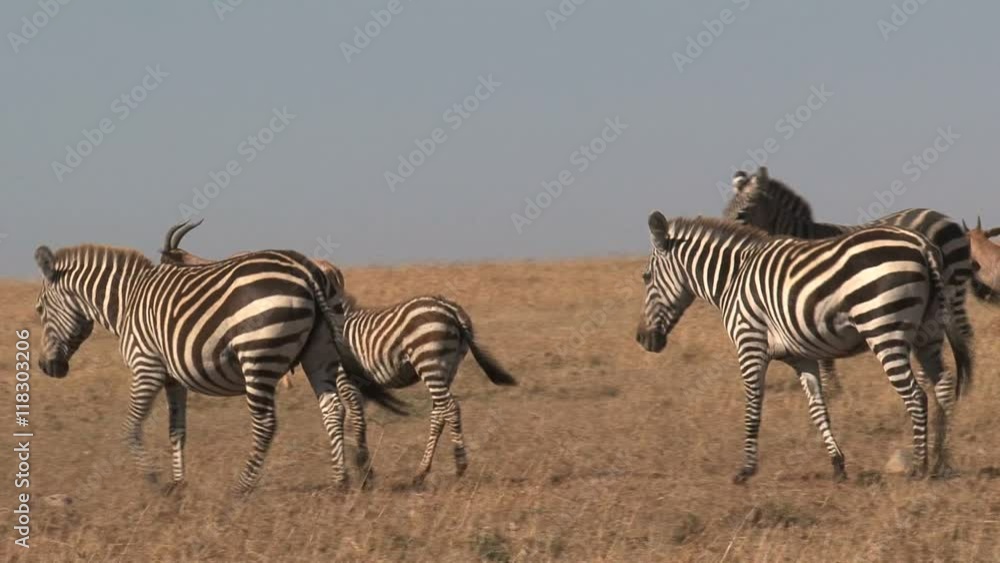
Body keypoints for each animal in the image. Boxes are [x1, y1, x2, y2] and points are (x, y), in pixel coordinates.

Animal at [33, 242, 406, 494]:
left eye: (38, 310)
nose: (46, 367)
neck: (126, 301)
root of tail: (306, 269)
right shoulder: (173, 378)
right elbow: (177, 429)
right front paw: (179, 484)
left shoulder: (146, 366)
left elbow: (130, 427)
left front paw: (154, 481)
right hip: (319, 352)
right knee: (333, 408)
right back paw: (341, 481)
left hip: (258, 353)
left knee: (266, 424)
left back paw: (242, 487)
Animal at [160, 220, 520, 484]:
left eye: (164, 265)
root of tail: (451, 309)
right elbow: (355, 416)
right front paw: (360, 465)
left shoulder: (344, 377)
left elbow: (353, 416)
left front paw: (361, 467)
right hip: (445, 367)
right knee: (440, 412)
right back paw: (423, 471)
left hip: (430, 362)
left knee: (450, 408)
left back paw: (457, 465)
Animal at [632, 214, 968, 482]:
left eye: (646, 277)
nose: (642, 340)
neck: (732, 279)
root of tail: (922, 244)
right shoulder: (801, 358)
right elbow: (818, 409)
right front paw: (837, 465)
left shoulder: (749, 343)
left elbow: (753, 407)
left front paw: (746, 469)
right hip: (928, 334)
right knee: (942, 386)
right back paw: (942, 461)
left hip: (883, 329)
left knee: (916, 395)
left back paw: (920, 467)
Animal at [724, 167, 972, 396]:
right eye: (726, 209)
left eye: (743, 212)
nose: (726, 228)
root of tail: (948, 220)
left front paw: (831, 389)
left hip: (948, 286)